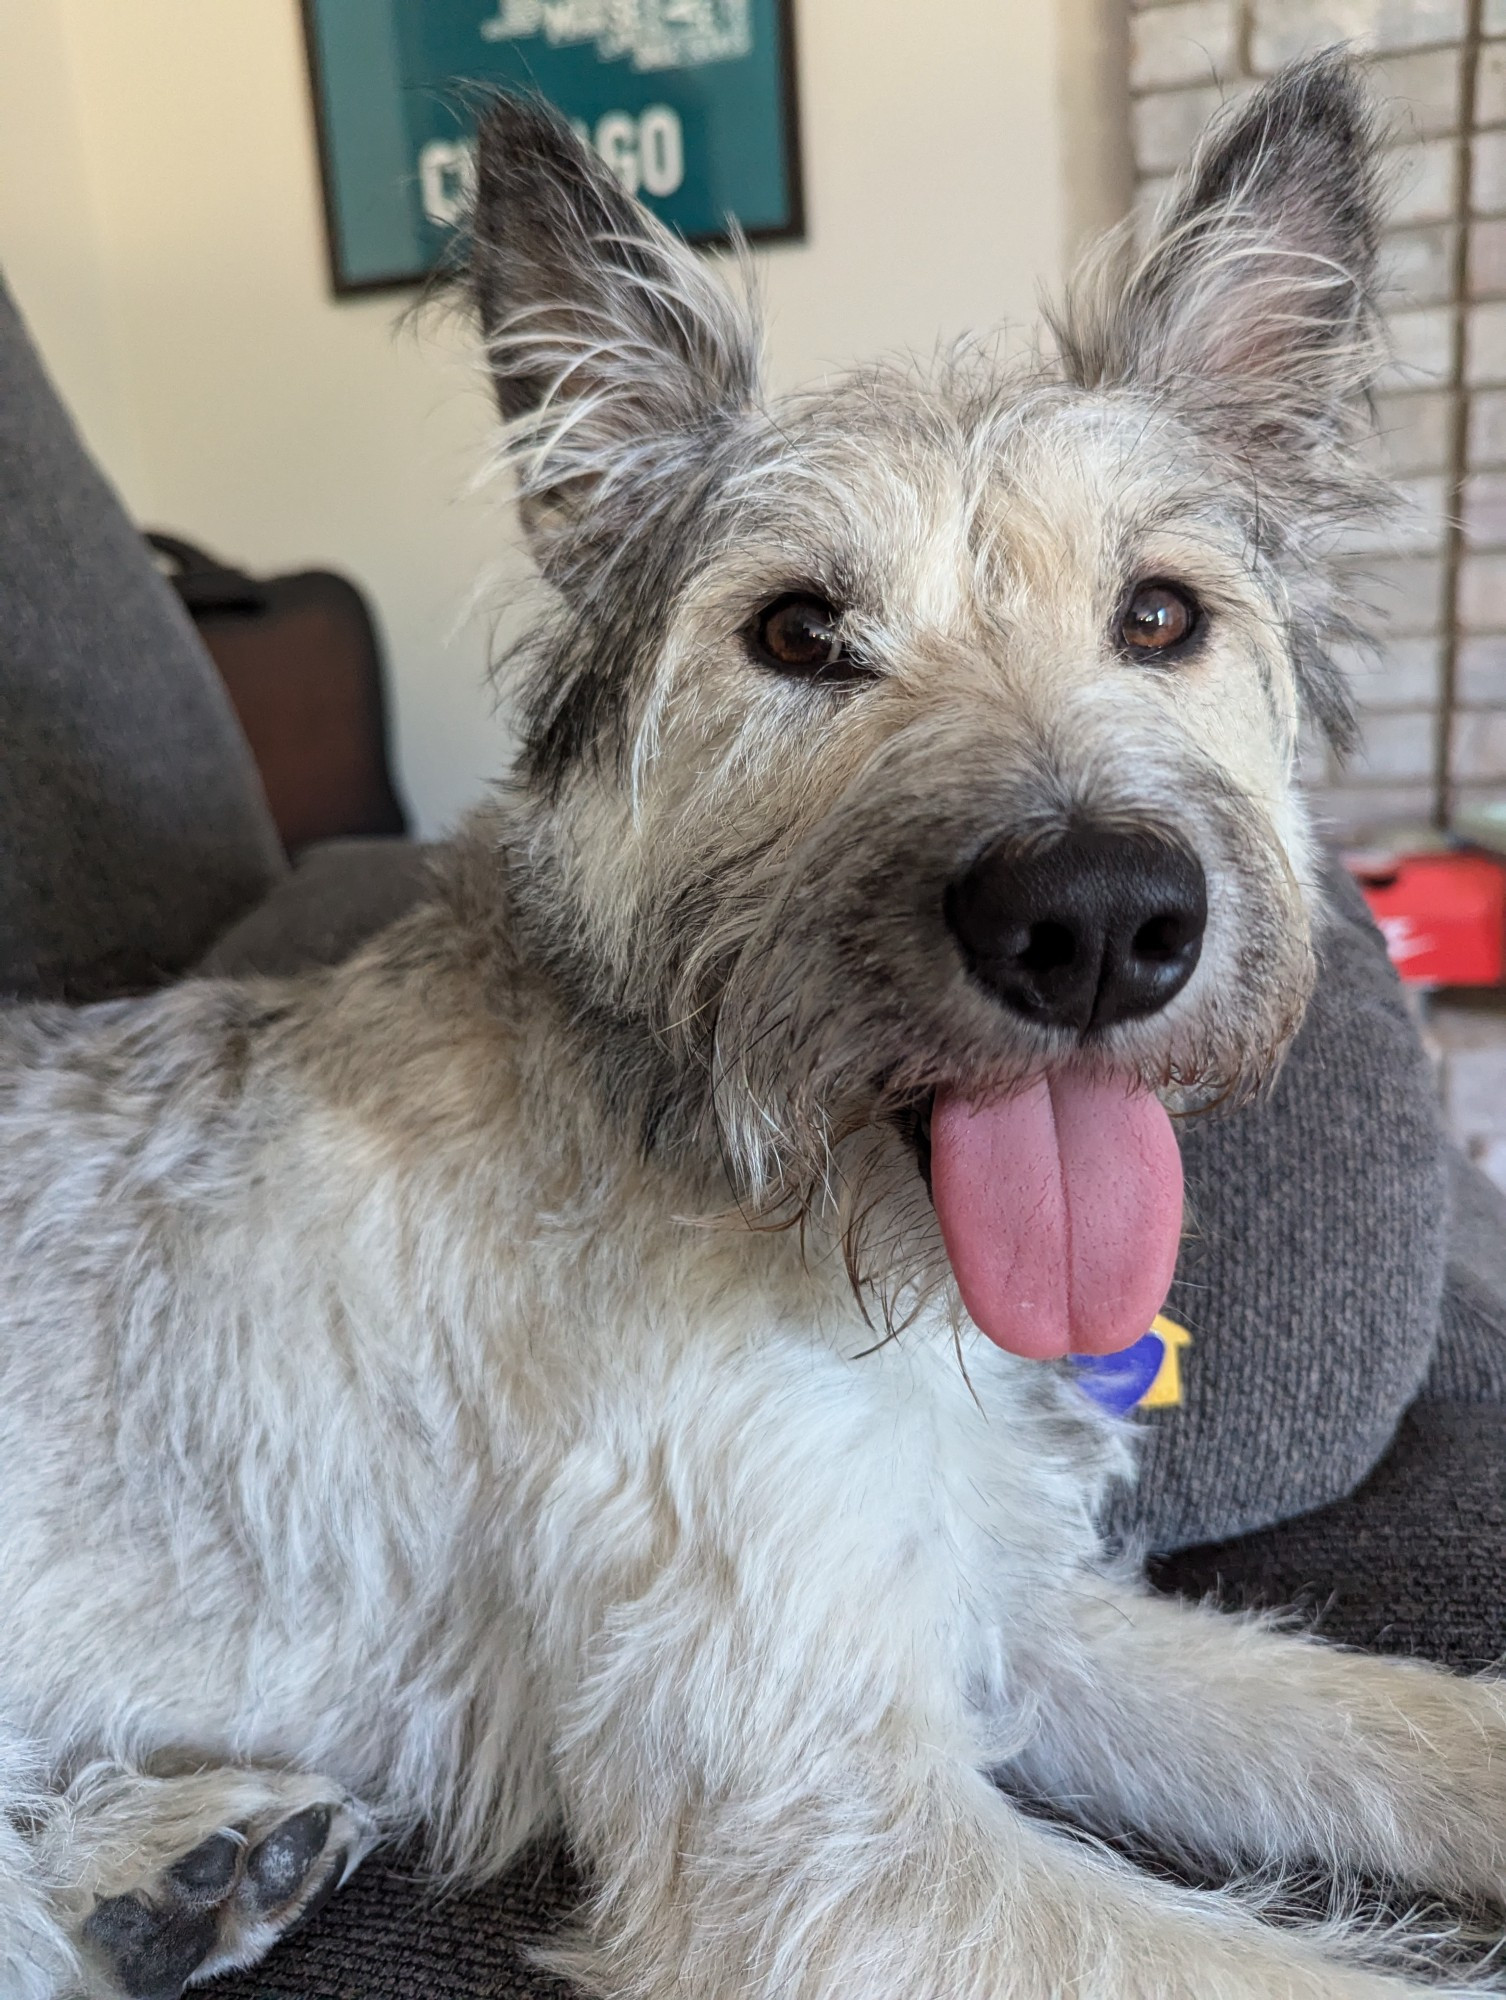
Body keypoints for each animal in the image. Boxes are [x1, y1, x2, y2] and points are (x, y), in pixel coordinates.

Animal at [2, 47, 1504, 2000]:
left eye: (1160, 614)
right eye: (795, 633)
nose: (1100, 922)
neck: (805, 1212)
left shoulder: (985, 1605)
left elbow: (1385, 1718)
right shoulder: (819, 1838)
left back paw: (178, 1869)